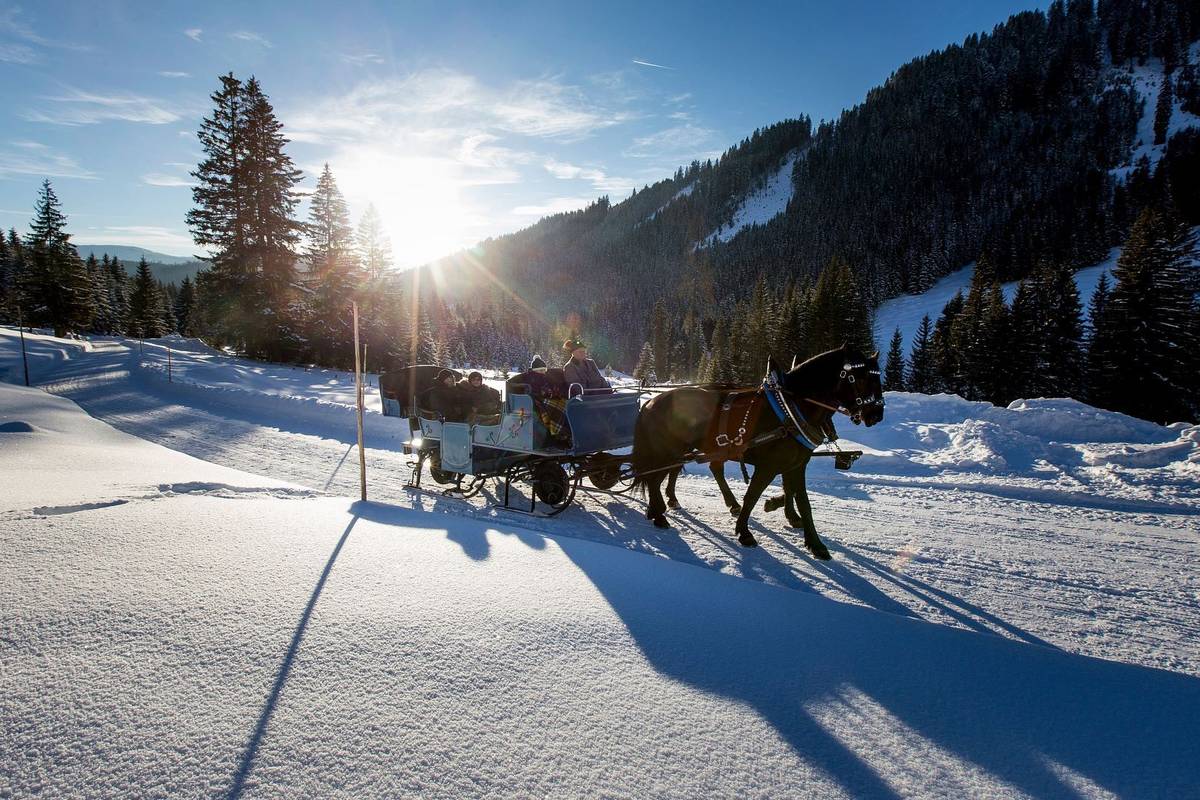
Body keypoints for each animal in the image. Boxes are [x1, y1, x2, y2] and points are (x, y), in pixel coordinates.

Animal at [630, 344, 884, 558]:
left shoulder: (796, 465)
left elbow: (802, 500)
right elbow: (753, 495)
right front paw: (745, 532)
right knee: (655, 479)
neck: (790, 408)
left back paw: (663, 506)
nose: (876, 415)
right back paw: (659, 514)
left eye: (877, 378)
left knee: (674, 474)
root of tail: (651, 403)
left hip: (682, 450)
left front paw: (814, 543)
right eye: (859, 378)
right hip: (667, 451)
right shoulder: (768, 465)